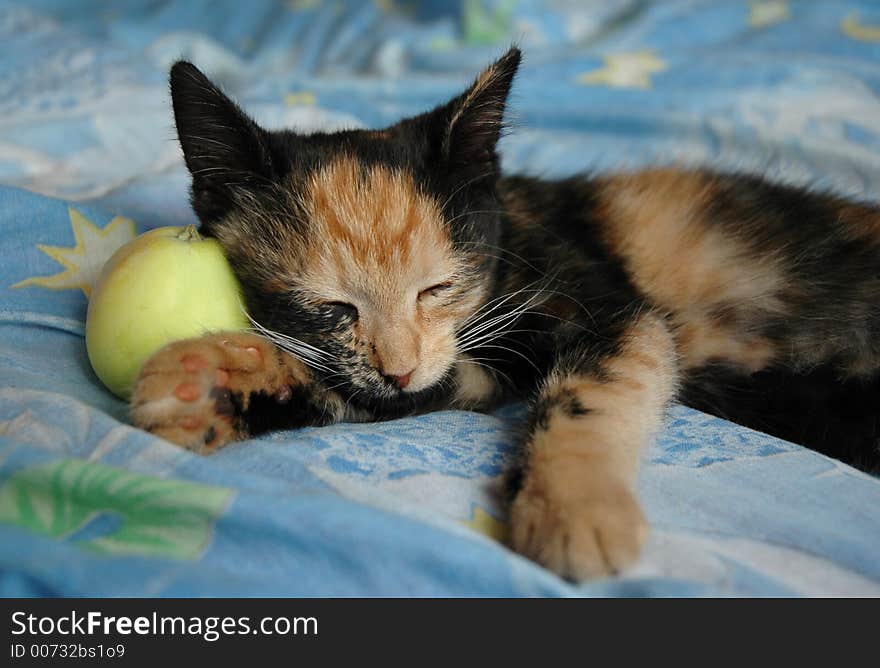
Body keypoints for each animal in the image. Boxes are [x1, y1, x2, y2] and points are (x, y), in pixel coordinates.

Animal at [131, 48, 880, 580]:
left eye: (437, 288)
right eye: (331, 306)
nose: (398, 367)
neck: (511, 239)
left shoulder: (614, 309)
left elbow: (587, 394)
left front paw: (576, 511)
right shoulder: (459, 370)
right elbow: (372, 387)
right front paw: (210, 377)